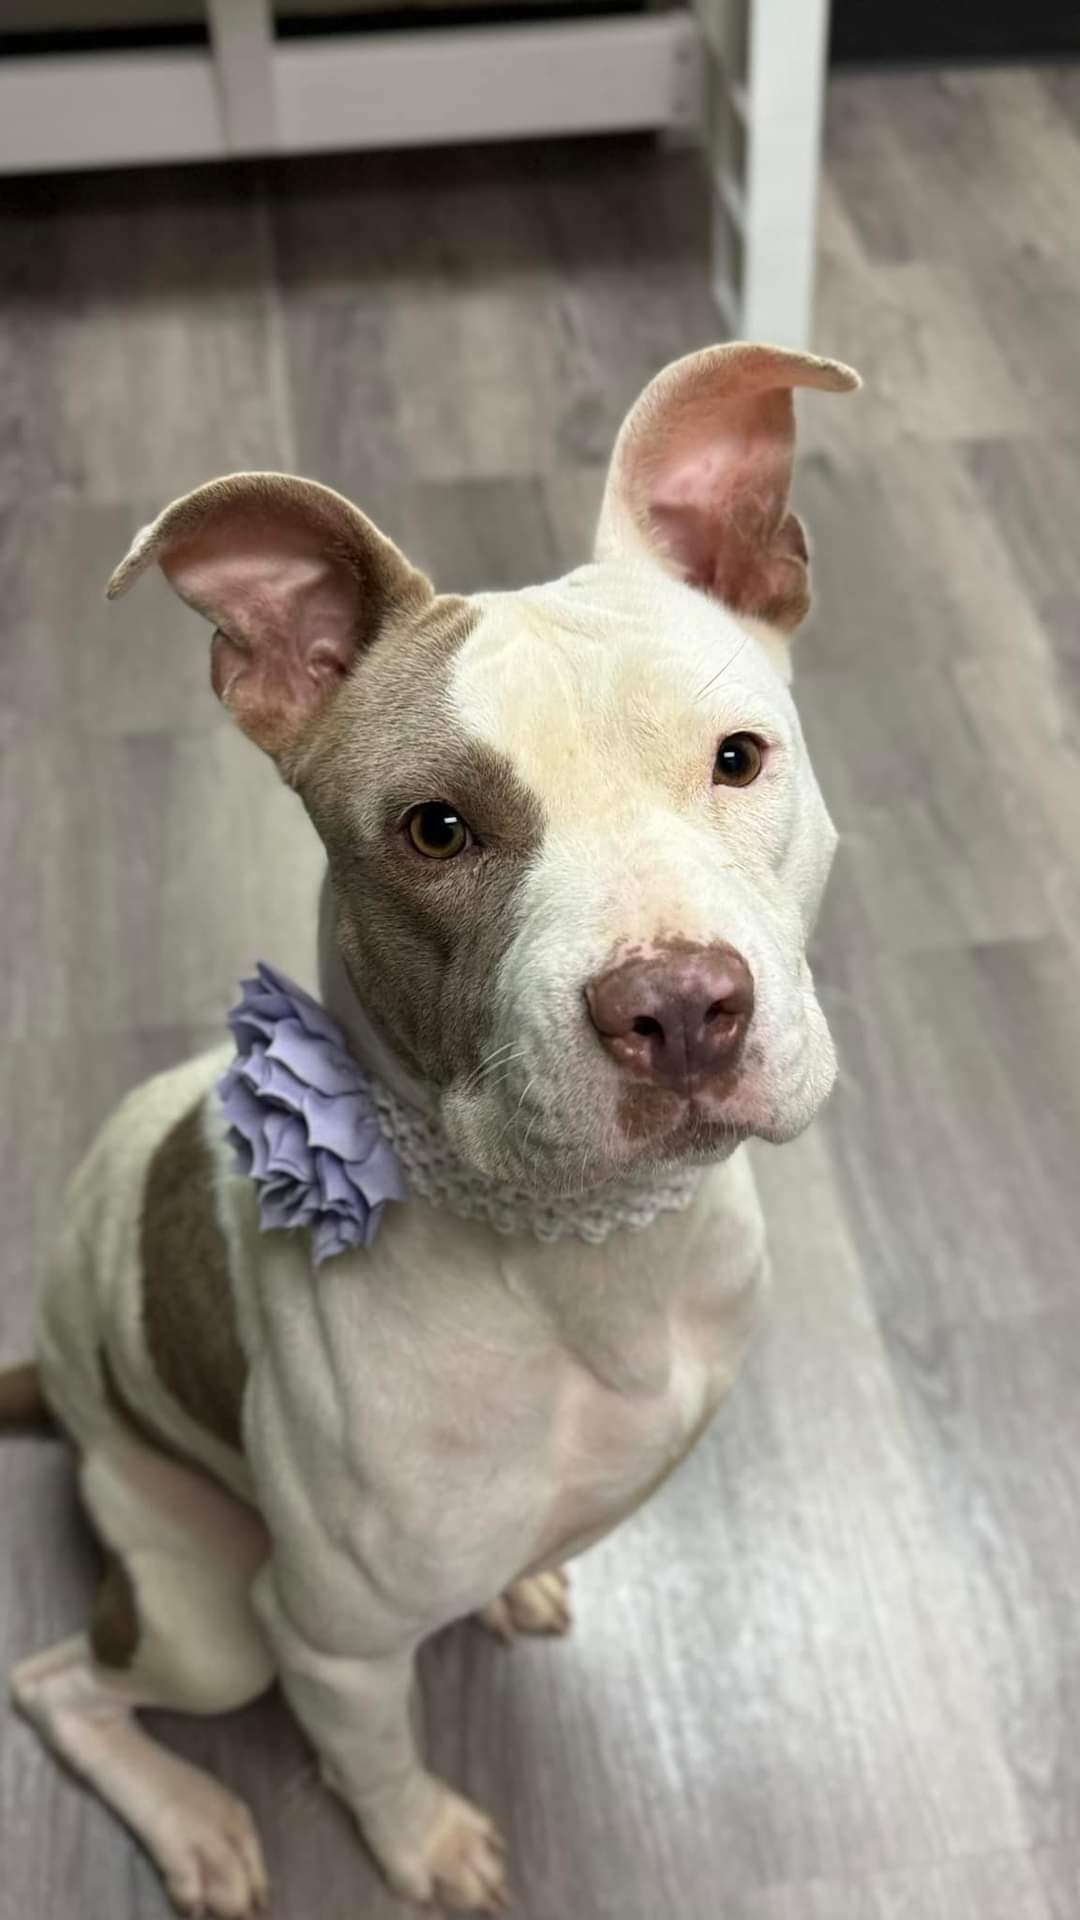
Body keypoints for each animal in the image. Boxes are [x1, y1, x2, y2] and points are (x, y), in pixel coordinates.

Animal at [0, 337, 857, 1912]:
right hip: (203, 1620)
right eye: (436, 830)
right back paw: (193, 1822)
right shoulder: (328, 1648)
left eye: (739, 757)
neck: (585, 1253)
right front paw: (425, 1844)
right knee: (60, 1685)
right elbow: (378, 1758)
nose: (680, 1007)